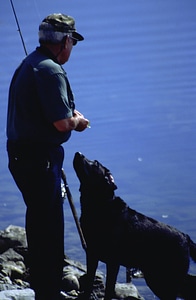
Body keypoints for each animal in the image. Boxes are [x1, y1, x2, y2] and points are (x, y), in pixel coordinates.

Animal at [73, 152, 196, 300]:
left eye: (95, 163)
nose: (78, 153)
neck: (100, 207)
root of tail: (186, 237)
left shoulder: (113, 262)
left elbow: (109, 289)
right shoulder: (91, 254)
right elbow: (89, 283)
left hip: (163, 279)